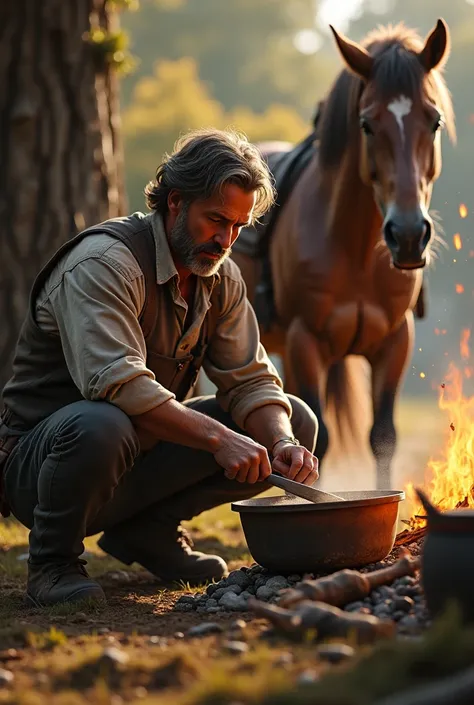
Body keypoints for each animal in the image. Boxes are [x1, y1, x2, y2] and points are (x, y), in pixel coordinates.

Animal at [231, 17, 458, 490]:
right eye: (367, 125)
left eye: (434, 121)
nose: (408, 235)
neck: (355, 250)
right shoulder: (305, 341)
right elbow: (319, 440)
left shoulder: (396, 342)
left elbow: (383, 437)